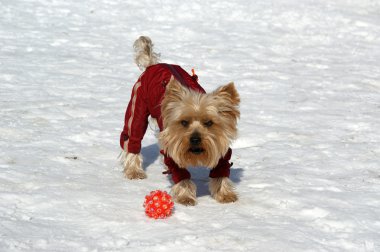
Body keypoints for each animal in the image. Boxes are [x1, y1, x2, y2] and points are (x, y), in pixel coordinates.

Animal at [120, 36, 239, 206]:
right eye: (184, 122)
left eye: (209, 123)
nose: (195, 139)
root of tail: (153, 65)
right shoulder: (173, 147)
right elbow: (180, 173)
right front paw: (185, 196)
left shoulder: (221, 149)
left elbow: (221, 170)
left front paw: (225, 194)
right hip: (138, 104)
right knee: (132, 138)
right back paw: (134, 171)